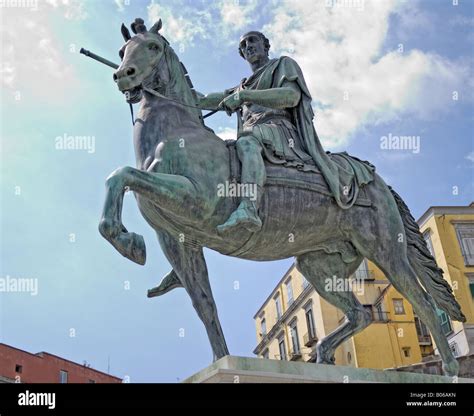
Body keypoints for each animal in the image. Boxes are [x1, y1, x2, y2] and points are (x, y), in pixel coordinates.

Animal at [98, 18, 464, 376]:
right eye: (122, 50)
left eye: (152, 46)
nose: (123, 75)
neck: (176, 134)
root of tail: (376, 180)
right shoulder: (177, 238)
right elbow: (204, 304)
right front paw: (220, 359)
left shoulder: (195, 198)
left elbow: (121, 174)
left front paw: (126, 240)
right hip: (319, 266)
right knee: (361, 313)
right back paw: (324, 353)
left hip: (386, 252)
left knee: (422, 301)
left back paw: (449, 367)